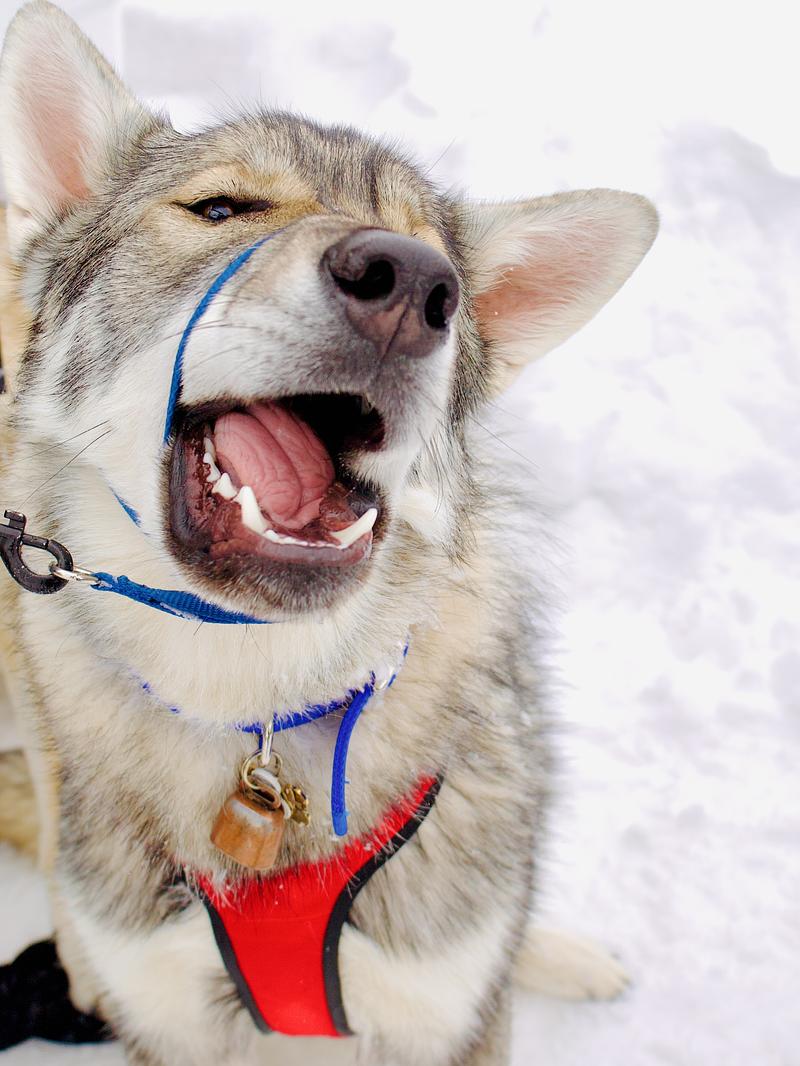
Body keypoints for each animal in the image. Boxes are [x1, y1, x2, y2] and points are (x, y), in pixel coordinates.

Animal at [0, 3, 657, 1063]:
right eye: (220, 210)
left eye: (441, 266)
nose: (413, 285)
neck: (260, 704)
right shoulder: (169, 1016)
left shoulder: (445, 1008)